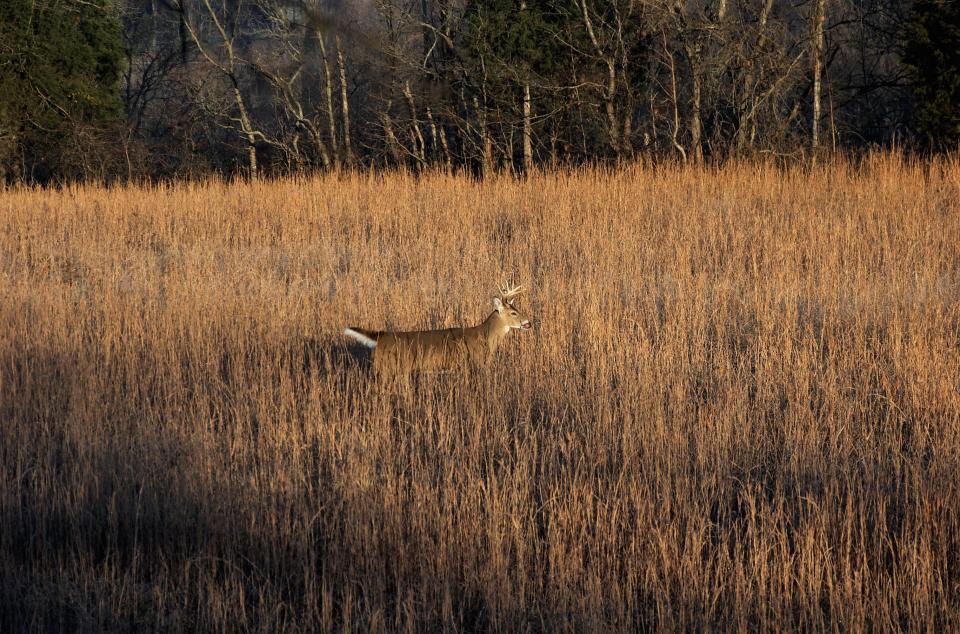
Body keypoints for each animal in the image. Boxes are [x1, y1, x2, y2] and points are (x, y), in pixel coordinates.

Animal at [344, 282, 532, 376]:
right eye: (514, 312)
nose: (528, 322)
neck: (484, 336)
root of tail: (381, 337)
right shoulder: (471, 363)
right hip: (387, 367)